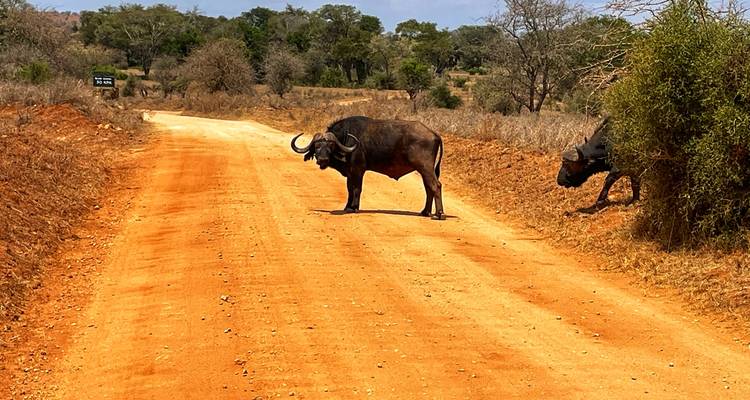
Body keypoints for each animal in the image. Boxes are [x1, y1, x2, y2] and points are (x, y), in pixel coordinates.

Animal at [291, 116, 446, 220]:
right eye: (317, 146)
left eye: (330, 146)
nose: (322, 159)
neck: (346, 140)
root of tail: (434, 133)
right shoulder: (350, 172)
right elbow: (349, 189)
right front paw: (347, 207)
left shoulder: (358, 170)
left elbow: (357, 189)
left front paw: (354, 207)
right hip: (424, 170)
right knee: (429, 188)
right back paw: (425, 212)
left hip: (425, 168)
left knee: (436, 185)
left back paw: (439, 214)